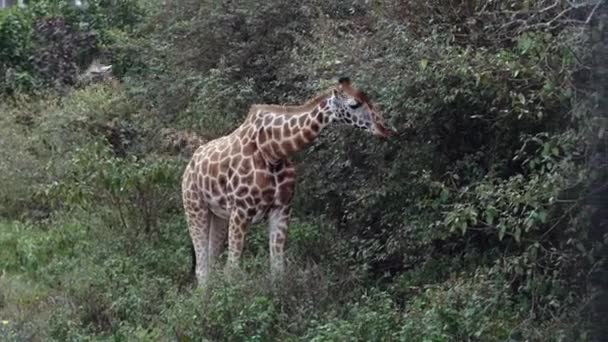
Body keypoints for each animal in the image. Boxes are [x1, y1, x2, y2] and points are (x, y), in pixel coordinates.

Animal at [180, 77, 394, 286]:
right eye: (354, 104)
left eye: (368, 98)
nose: (384, 128)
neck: (273, 151)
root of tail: (190, 165)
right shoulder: (241, 211)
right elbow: (232, 271)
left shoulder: (281, 208)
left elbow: (277, 270)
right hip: (195, 207)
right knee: (202, 269)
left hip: (219, 215)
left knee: (211, 264)